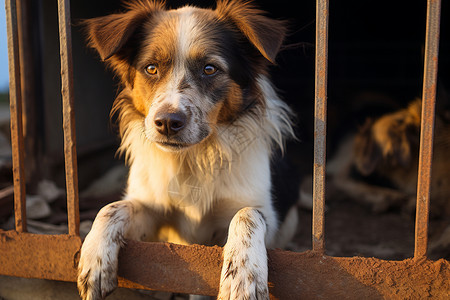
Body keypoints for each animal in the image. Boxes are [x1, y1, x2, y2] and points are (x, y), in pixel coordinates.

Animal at [77, 1, 298, 298]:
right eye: (151, 68)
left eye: (209, 69)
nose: (167, 123)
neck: (193, 158)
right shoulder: (154, 214)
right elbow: (112, 207)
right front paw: (94, 262)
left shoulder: (264, 213)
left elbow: (247, 215)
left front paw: (242, 278)